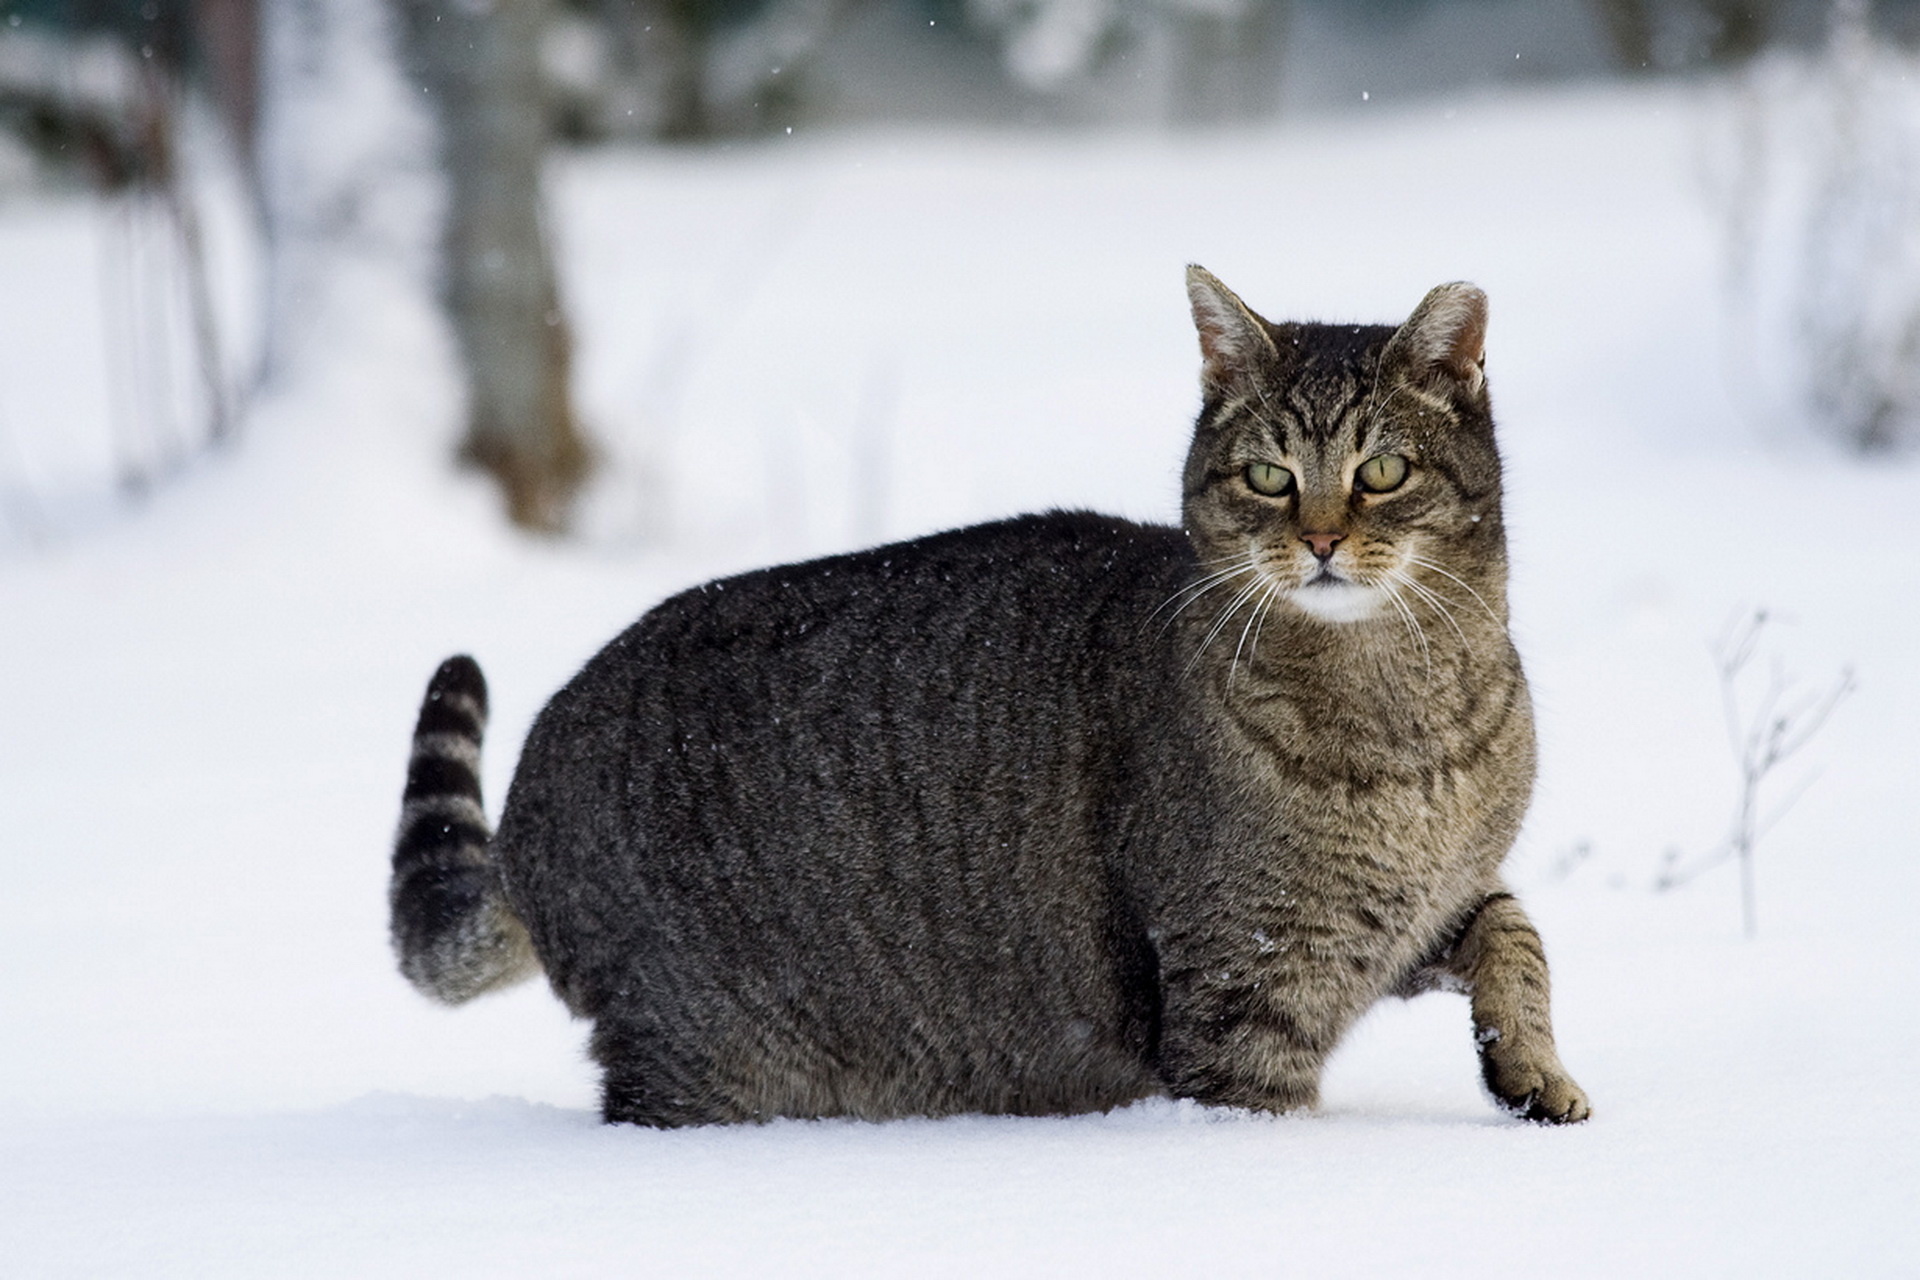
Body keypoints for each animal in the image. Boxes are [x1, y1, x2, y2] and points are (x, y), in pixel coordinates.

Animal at [385, 264, 1589, 1128]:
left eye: (1382, 472)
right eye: (1268, 476)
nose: (1325, 539)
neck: (1406, 722)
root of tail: (531, 784)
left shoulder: (1422, 907)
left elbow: (1518, 929)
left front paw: (1532, 1068)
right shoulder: (1243, 990)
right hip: (704, 1057)